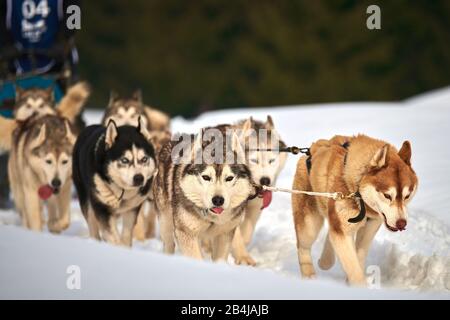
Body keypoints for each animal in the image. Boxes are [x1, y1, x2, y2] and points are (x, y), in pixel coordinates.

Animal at [153, 125, 255, 260]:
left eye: (229, 178)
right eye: (206, 177)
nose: (218, 200)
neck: (212, 219)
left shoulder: (224, 234)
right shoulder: (186, 233)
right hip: (166, 224)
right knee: (168, 244)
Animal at [230, 115, 286, 264]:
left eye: (272, 160)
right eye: (254, 160)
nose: (265, 180)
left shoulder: (255, 208)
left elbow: (246, 235)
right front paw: (243, 257)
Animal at [292, 134, 418, 284]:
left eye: (407, 196)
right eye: (387, 195)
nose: (401, 223)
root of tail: (312, 148)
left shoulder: (369, 226)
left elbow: (359, 256)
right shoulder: (343, 232)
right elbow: (353, 268)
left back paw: (325, 260)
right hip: (309, 225)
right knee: (303, 247)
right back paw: (309, 275)